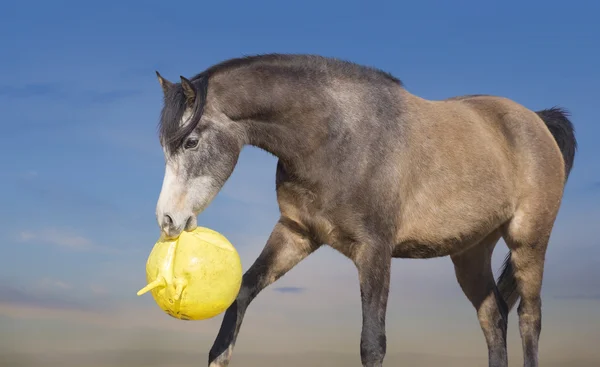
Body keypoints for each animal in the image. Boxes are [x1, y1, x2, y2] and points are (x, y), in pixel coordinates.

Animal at [150, 53, 576, 366]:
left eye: (190, 141)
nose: (168, 221)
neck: (336, 135)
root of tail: (537, 120)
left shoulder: (374, 250)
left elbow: (372, 343)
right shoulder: (296, 234)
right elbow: (242, 292)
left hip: (528, 241)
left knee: (529, 319)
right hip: (469, 253)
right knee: (493, 317)